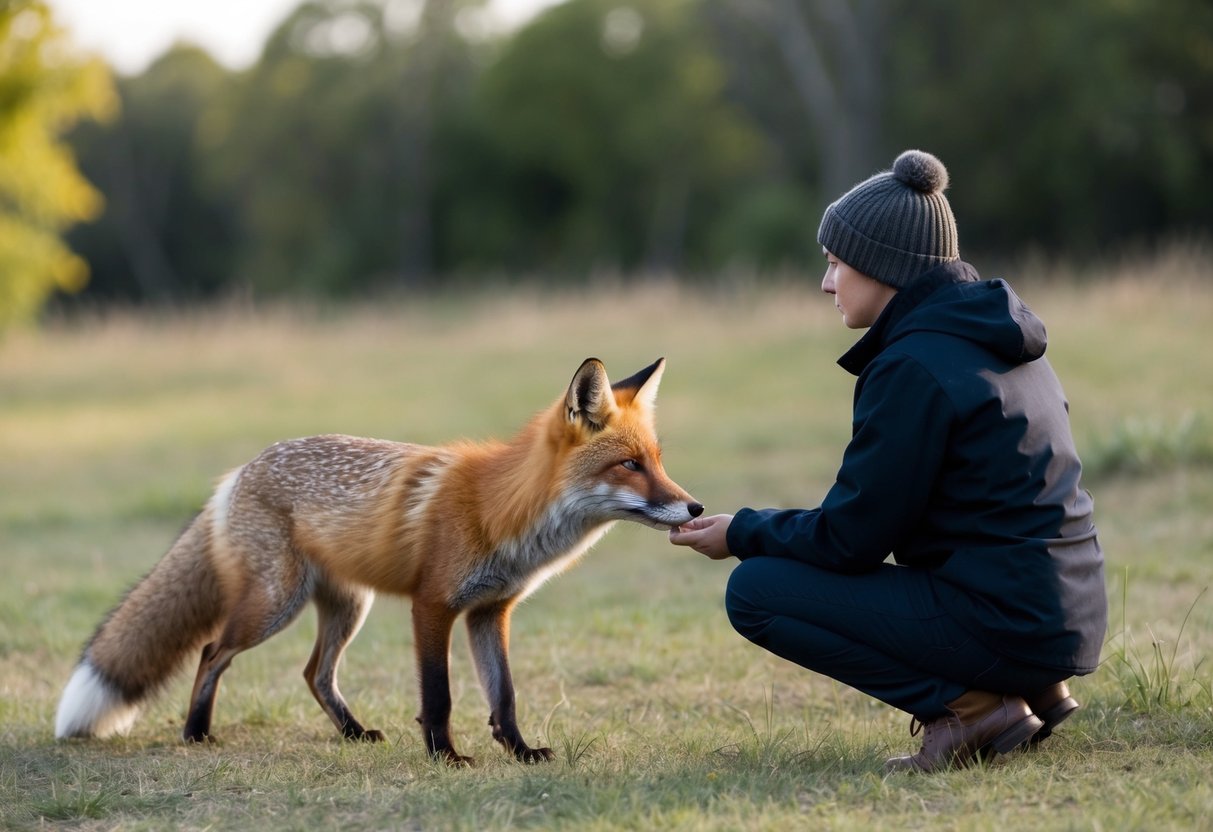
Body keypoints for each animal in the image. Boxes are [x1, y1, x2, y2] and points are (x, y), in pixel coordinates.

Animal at [55, 357, 702, 764]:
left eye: (657, 461)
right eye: (629, 466)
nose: (696, 507)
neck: (504, 510)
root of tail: (239, 471)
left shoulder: (490, 612)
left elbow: (505, 696)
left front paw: (520, 752)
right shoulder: (433, 606)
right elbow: (438, 697)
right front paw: (445, 757)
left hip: (348, 608)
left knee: (314, 673)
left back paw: (353, 733)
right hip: (274, 606)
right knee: (213, 651)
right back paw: (196, 733)